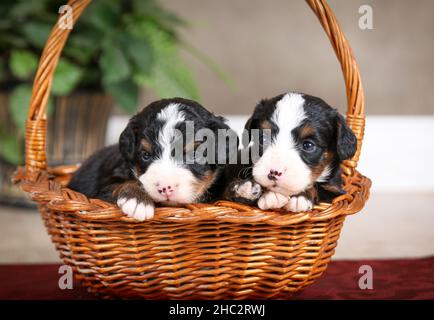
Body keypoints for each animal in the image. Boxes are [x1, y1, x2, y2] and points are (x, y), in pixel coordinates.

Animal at [68, 98, 234, 220]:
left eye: (194, 154)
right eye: (146, 155)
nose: (166, 188)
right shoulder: (100, 189)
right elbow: (119, 184)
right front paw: (137, 200)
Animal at [224, 91, 356, 211]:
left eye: (308, 145)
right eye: (262, 139)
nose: (274, 172)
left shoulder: (335, 190)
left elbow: (317, 186)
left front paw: (300, 197)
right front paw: (250, 189)